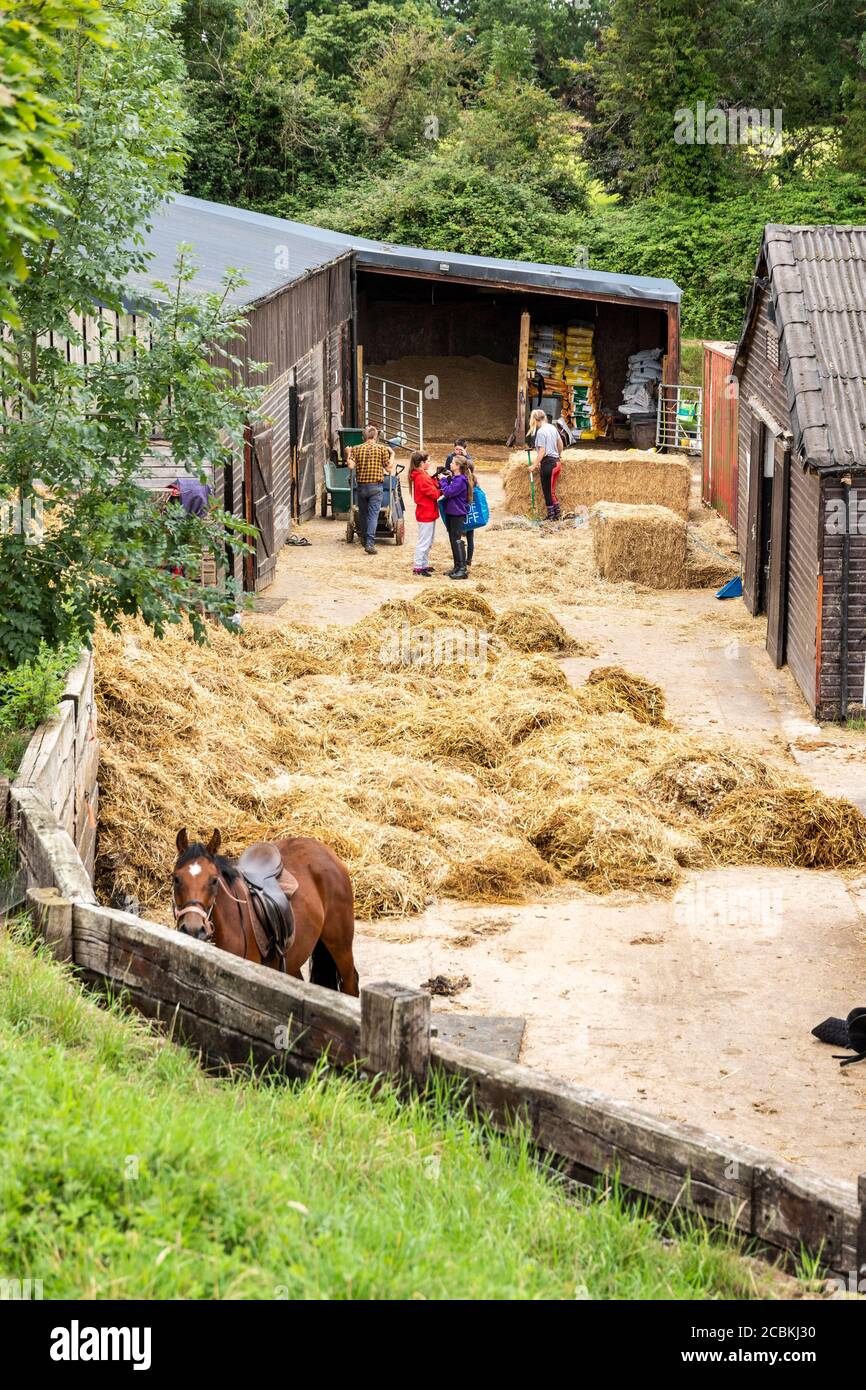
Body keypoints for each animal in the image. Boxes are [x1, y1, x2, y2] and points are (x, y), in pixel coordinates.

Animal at [170, 828, 361, 995]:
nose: (193, 929)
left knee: (351, 984)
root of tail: (327, 851)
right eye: (176, 879)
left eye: (214, 880)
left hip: (340, 946)